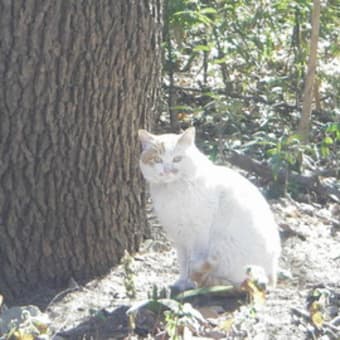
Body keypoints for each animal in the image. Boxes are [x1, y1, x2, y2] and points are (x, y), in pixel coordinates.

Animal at [139, 126, 282, 290]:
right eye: (158, 160)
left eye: (177, 159)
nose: (168, 170)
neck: (172, 189)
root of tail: (273, 276)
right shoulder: (179, 237)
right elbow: (183, 262)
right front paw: (182, 282)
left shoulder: (198, 235)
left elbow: (192, 261)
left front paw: (190, 283)